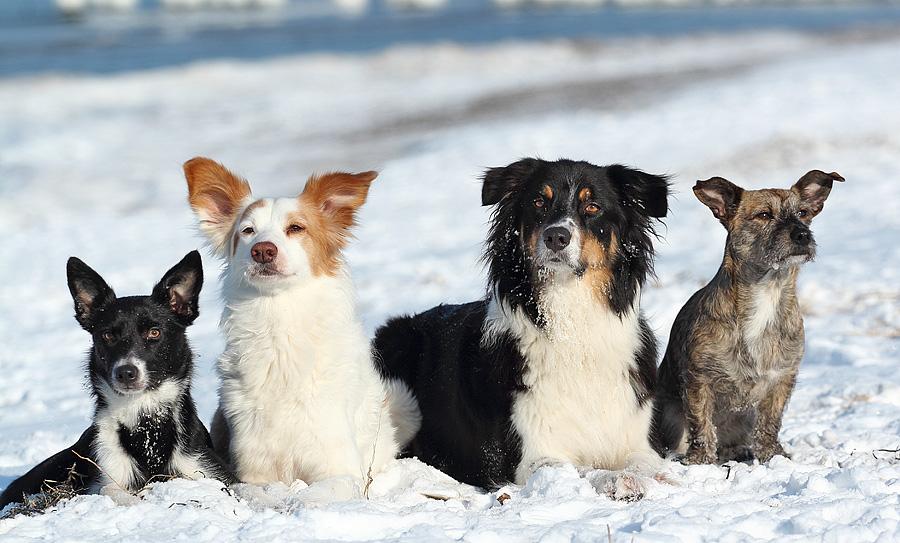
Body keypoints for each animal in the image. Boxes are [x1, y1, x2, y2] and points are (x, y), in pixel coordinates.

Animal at [0, 251, 236, 510]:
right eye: (108, 335)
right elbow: (112, 491)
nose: (125, 372)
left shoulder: (207, 469)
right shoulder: (107, 471)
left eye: (154, 332)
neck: (145, 424)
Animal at [372, 158, 668, 498]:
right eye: (539, 202)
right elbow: (581, 470)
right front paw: (617, 479)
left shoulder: (638, 440)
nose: (556, 237)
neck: (573, 327)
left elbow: (647, 463)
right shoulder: (532, 457)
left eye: (592, 207)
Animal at [652, 170, 844, 464]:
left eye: (803, 213)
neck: (768, 289)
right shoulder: (699, 380)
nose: (802, 235)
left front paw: (772, 456)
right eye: (764, 215)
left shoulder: (782, 378)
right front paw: (701, 461)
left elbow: (770, 423)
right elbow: (701, 424)